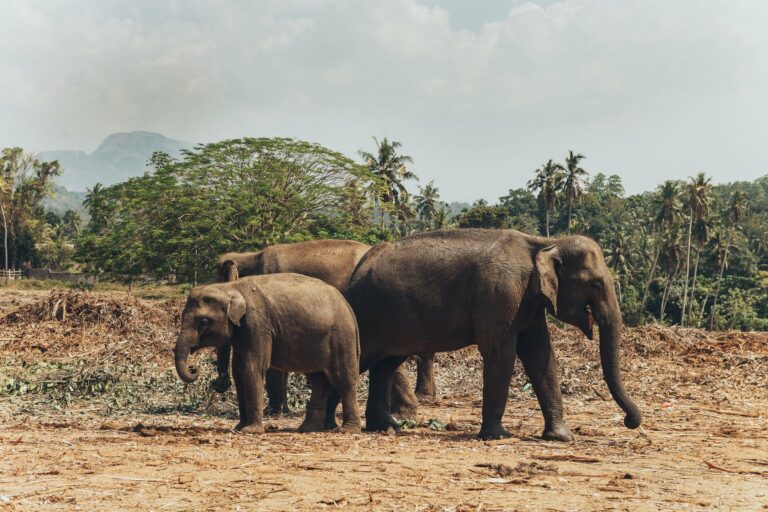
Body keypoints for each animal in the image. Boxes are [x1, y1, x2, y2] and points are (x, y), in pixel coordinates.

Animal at [174, 274, 362, 434]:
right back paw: (307, 429)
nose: (194, 368)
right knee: (318, 380)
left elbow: (252, 367)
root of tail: (348, 308)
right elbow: (238, 371)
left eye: (203, 321)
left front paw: (251, 431)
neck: (230, 287)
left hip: (341, 337)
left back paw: (348, 430)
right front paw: (239, 427)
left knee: (344, 379)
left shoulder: (257, 324)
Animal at [338, 228, 642, 440]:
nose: (629, 422)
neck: (543, 242)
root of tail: (358, 268)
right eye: (594, 284)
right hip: (368, 313)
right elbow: (502, 353)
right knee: (359, 359)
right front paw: (498, 436)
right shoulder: (499, 294)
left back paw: (386, 427)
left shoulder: (528, 302)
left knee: (386, 365)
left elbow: (541, 355)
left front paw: (561, 437)